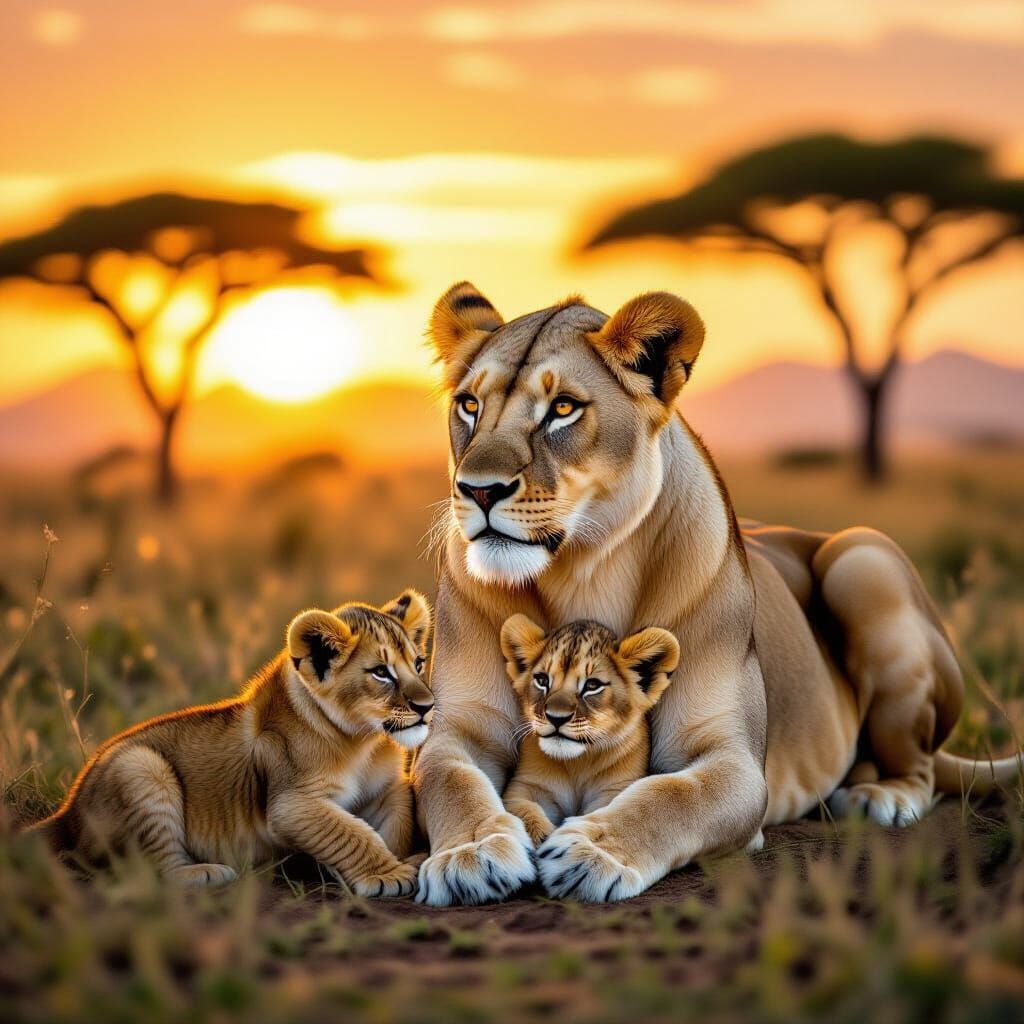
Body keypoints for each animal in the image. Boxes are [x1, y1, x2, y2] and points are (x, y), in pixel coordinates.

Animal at [30, 591, 434, 896]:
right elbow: (351, 833)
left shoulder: (387, 789)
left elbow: (398, 821)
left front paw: (406, 858)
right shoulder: (292, 803)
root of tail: (67, 809)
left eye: (418, 663)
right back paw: (206, 872)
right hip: (140, 767)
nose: (428, 707)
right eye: (380, 672)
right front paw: (388, 875)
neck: (363, 740)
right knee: (152, 871)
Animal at [499, 615, 679, 850]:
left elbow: (605, 816)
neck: (578, 764)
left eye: (592, 685)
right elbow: (522, 808)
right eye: (542, 680)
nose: (556, 717)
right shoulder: (525, 785)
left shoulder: (615, 789)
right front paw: (538, 836)